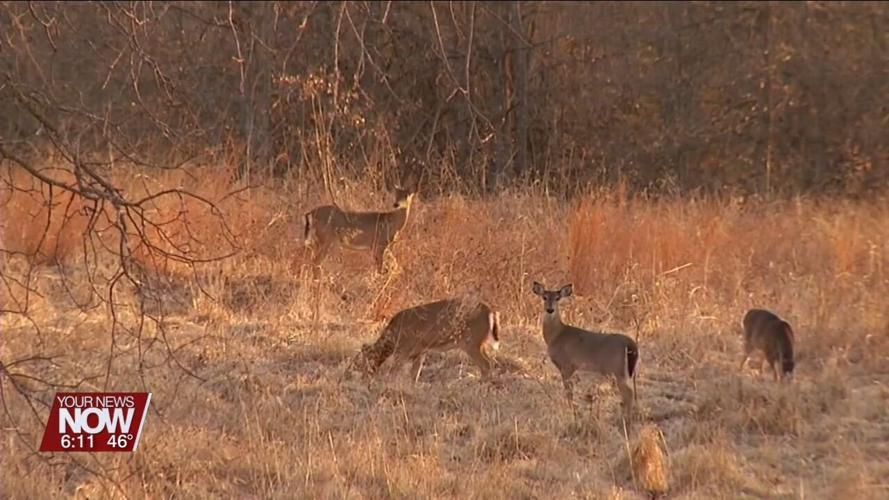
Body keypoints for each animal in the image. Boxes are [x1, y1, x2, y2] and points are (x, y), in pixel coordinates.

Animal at [349, 298, 501, 383]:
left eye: (360, 362)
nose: (363, 378)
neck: (393, 337)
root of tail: (490, 311)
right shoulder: (421, 351)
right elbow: (414, 374)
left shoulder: (403, 350)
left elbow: (394, 371)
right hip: (478, 343)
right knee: (489, 363)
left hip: (471, 342)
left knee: (486, 364)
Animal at [531, 281, 639, 419]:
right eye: (544, 297)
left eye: (557, 298)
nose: (550, 310)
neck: (556, 335)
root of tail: (630, 345)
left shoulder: (567, 365)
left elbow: (568, 391)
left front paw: (572, 411)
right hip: (624, 372)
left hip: (616, 369)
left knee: (628, 394)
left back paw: (625, 419)